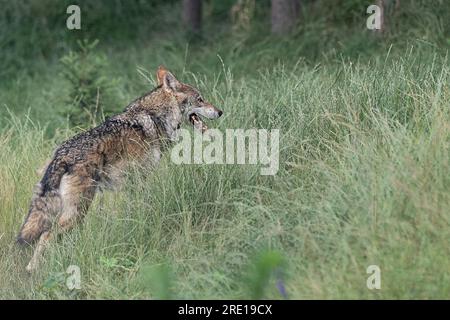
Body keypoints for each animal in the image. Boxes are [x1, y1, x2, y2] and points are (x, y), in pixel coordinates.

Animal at [16, 66, 222, 272]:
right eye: (200, 99)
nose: (220, 111)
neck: (156, 118)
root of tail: (62, 155)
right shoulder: (141, 180)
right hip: (77, 211)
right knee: (47, 235)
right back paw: (34, 269)